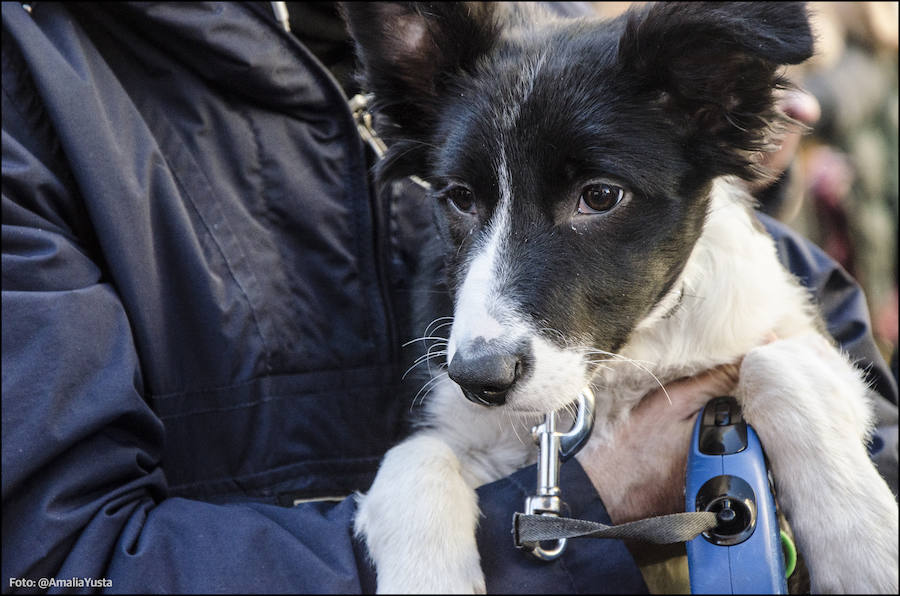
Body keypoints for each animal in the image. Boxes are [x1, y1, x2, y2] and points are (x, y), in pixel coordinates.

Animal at [342, 3, 896, 592]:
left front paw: (866, 549)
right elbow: (410, 460)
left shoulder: (793, 331)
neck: (612, 372)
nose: (478, 378)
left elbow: (776, 365)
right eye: (459, 198)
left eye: (601, 196)